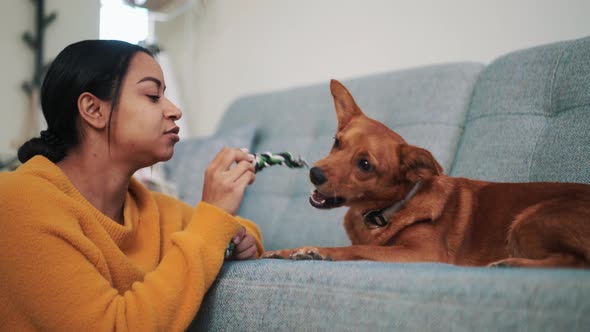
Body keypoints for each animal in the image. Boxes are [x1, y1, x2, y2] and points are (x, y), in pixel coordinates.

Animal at [266, 79, 590, 268]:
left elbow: (355, 250)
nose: (315, 174)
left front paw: (316, 251)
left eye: (365, 165)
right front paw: (283, 251)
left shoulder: (423, 254)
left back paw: (512, 264)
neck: (387, 210)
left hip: (530, 218)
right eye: (337, 142)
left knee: (576, 262)